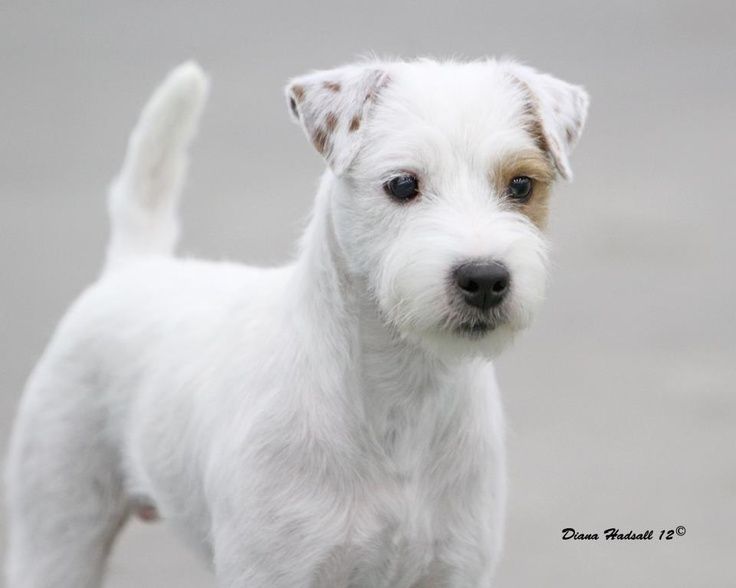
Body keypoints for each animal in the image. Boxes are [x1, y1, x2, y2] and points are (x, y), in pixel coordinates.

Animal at [4, 56, 588, 588]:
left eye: (521, 186)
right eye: (402, 184)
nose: (485, 278)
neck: (397, 401)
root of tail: (134, 266)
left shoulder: (454, 569)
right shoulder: (272, 569)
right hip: (59, 532)